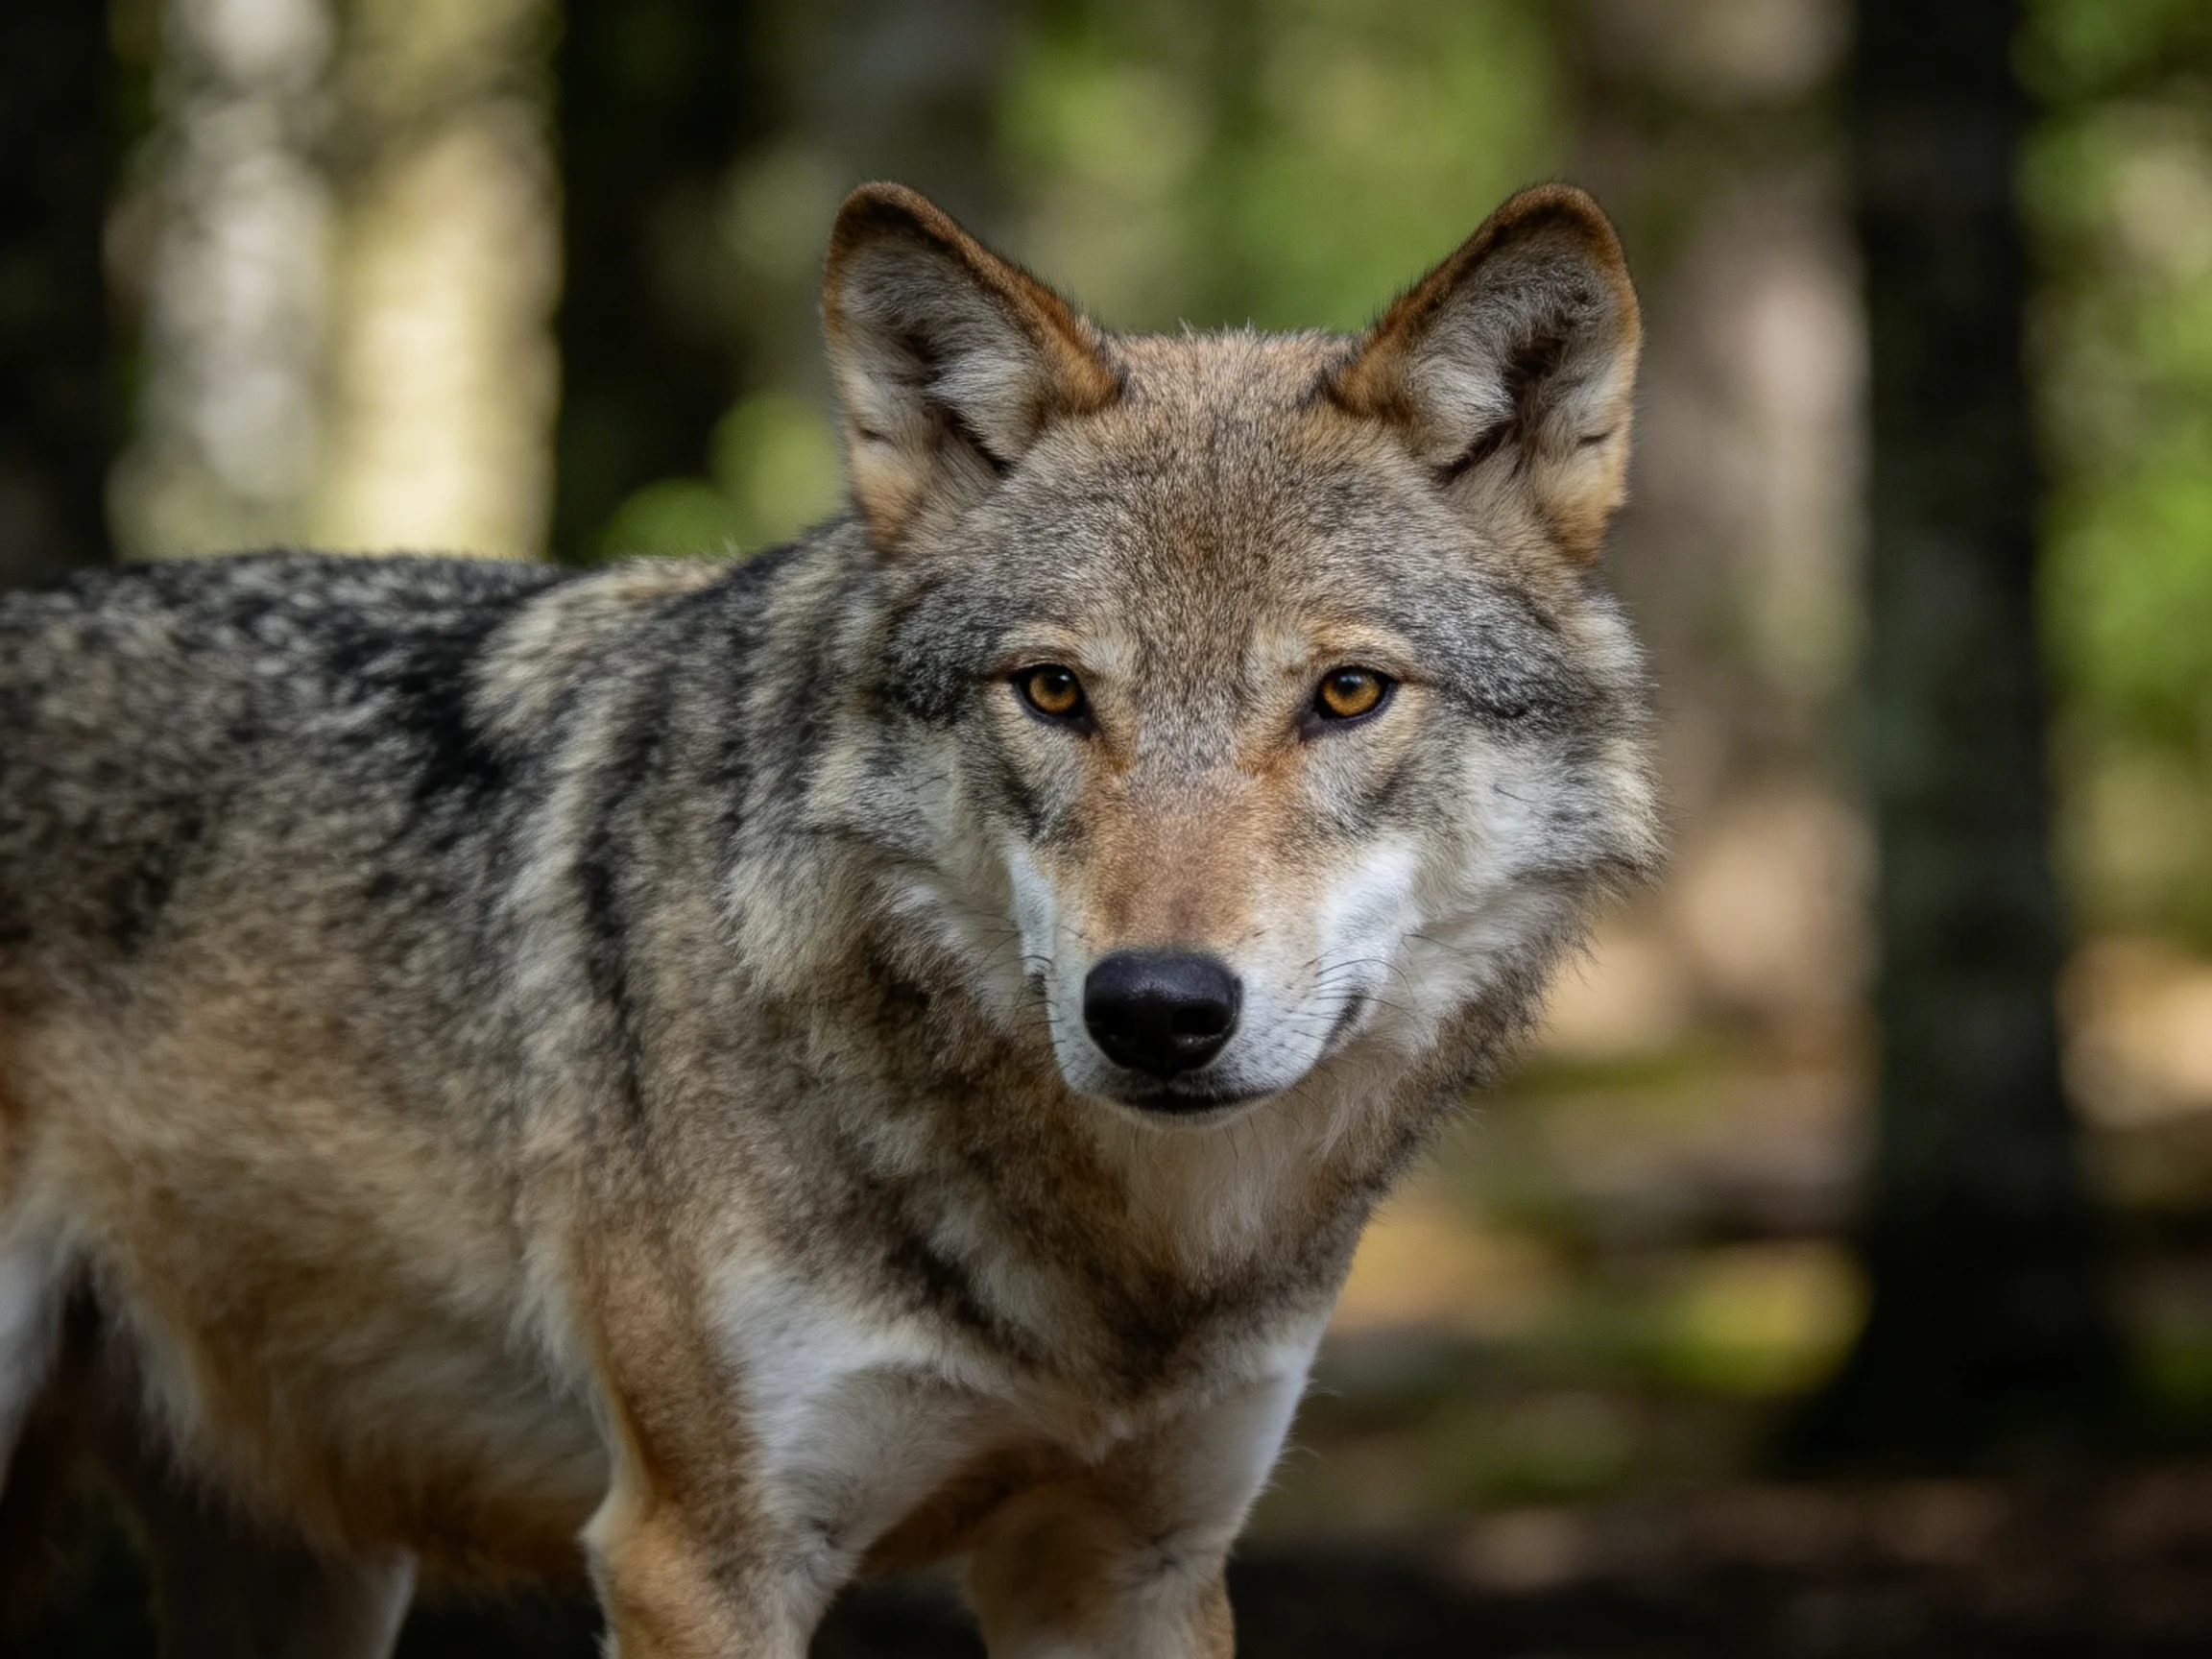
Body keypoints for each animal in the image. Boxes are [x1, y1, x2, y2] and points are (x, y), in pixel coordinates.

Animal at [0, 182, 1656, 1656]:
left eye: (1349, 693)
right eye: (1053, 690)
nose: (1156, 1009)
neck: (1116, 1270)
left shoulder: (1133, 1563)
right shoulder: (699, 1556)